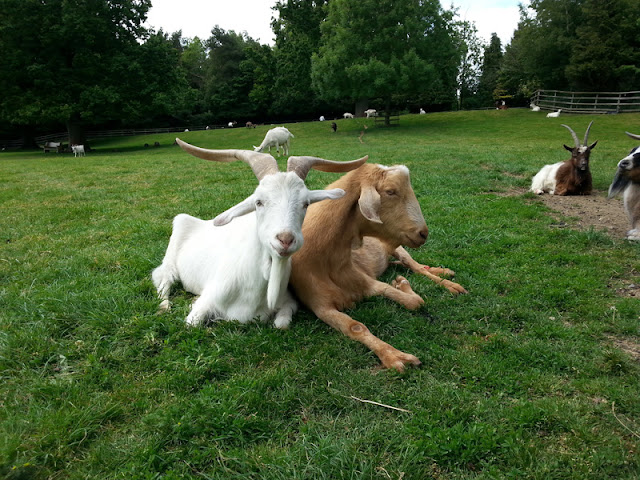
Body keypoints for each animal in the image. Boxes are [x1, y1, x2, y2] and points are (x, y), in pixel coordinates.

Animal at [152, 137, 368, 328]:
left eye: (306, 203)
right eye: (258, 202)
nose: (285, 239)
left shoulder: (288, 301)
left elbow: (281, 324)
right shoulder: (207, 300)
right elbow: (192, 324)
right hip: (174, 247)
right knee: (162, 278)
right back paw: (164, 306)